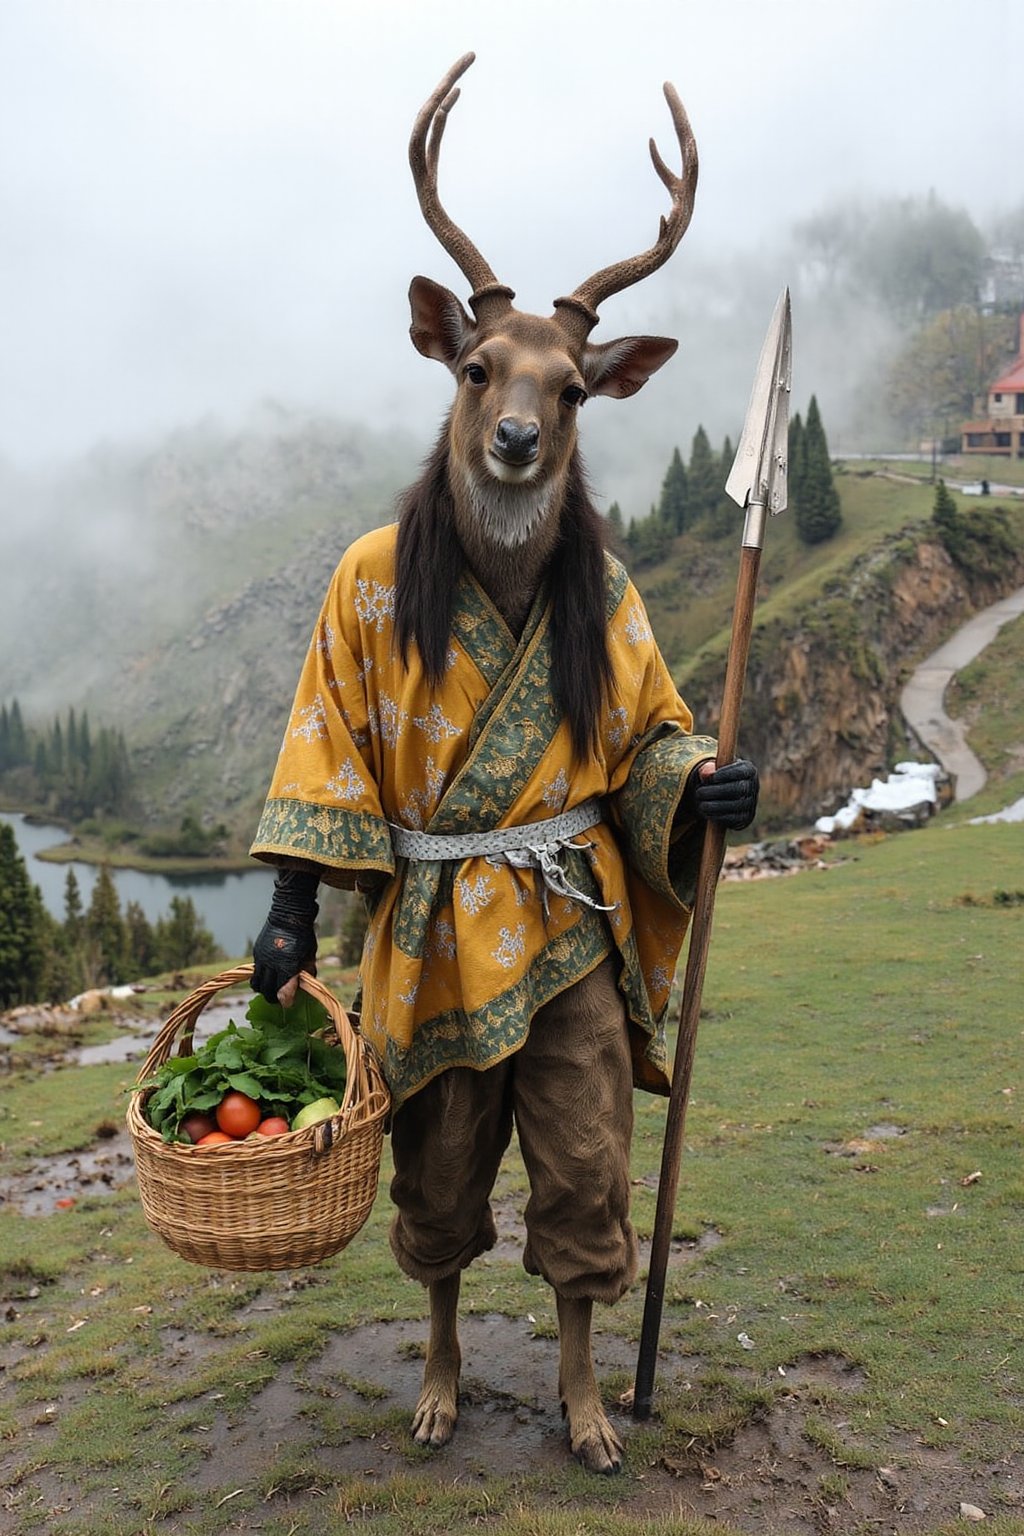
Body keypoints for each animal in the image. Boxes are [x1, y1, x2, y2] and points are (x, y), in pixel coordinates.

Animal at [251, 52, 758, 1475]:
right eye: (478, 369)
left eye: (571, 386)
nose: (520, 441)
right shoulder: (345, 617)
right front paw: (277, 946)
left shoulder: (621, 627)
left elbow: (645, 759)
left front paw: (594, 1411)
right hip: (429, 1082)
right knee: (436, 1220)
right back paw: (434, 1396)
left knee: (566, 1218)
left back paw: (588, 1407)